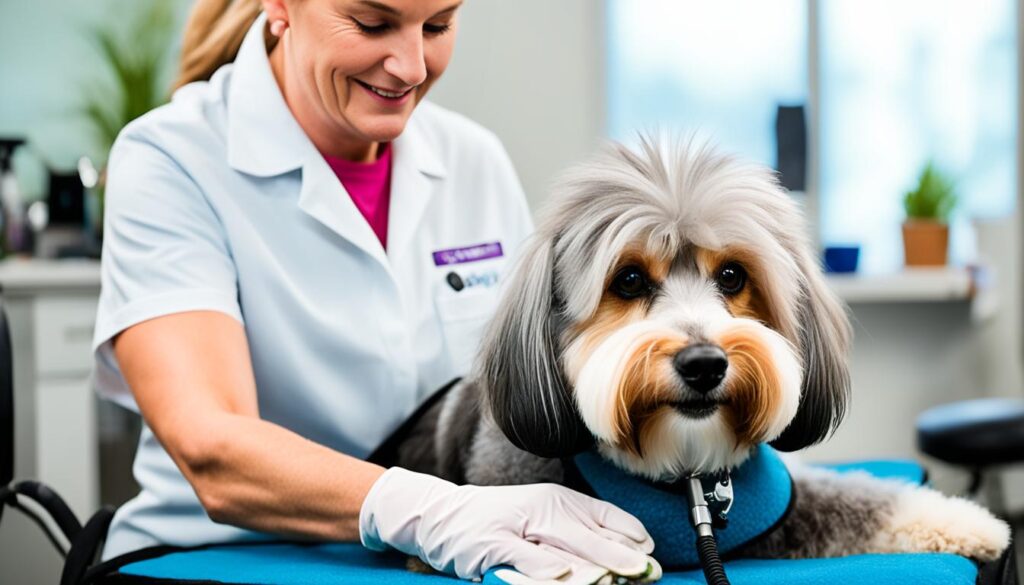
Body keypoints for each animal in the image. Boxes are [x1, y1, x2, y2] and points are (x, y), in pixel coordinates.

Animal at [389, 137, 1007, 581]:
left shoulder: (780, 502)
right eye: (628, 280)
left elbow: (864, 499)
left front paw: (970, 522)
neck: (683, 477)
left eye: (731, 275)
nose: (705, 364)